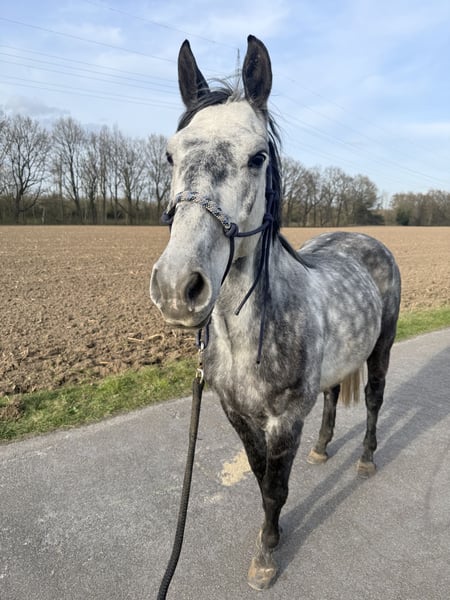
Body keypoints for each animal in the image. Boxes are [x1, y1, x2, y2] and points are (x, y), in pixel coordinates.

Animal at [150, 35, 401, 591]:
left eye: (258, 156)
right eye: (170, 154)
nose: (178, 287)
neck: (248, 338)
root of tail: (365, 238)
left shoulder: (284, 420)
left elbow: (275, 488)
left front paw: (266, 555)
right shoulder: (239, 416)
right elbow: (259, 476)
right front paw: (273, 537)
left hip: (383, 346)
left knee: (374, 400)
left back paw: (365, 460)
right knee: (332, 398)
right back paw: (324, 448)